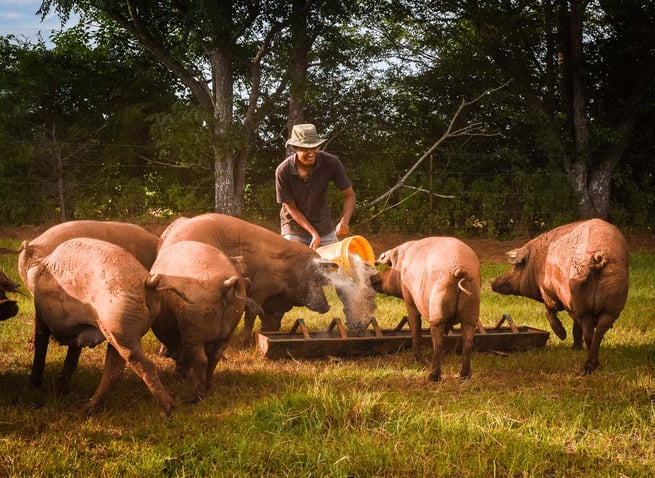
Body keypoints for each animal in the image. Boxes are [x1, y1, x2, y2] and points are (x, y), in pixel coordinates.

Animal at [27, 239, 174, 414]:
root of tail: (147, 282)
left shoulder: (41, 320)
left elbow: (40, 351)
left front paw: (34, 388)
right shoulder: (78, 333)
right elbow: (72, 358)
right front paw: (60, 389)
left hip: (118, 324)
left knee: (143, 365)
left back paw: (167, 410)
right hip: (119, 331)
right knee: (114, 370)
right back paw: (86, 409)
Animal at [151, 241, 249, 402]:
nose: (163, 352)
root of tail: (225, 284)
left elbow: (181, 356)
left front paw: (179, 376)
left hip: (194, 330)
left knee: (201, 360)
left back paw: (193, 398)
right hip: (229, 329)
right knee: (215, 356)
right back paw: (208, 386)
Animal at [158, 215, 338, 346]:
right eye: (317, 278)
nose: (328, 306)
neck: (289, 274)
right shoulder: (260, 290)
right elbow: (251, 314)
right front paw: (245, 343)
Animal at [372, 236, 484, 380]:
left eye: (388, 266)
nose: (371, 277)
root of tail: (460, 269)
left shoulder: (409, 299)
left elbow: (415, 327)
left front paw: (417, 361)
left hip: (438, 307)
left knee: (438, 343)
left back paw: (433, 377)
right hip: (472, 308)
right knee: (468, 342)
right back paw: (465, 376)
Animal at [492, 219, 632, 374]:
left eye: (517, 265)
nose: (492, 282)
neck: (536, 264)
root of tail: (598, 256)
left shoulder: (549, 293)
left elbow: (549, 311)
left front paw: (563, 336)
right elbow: (575, 326)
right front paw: (575, 347)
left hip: (582, 301)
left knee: (589, 330)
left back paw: (588, 366)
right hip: (613, 301)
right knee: (598, 330)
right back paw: (592, 365)